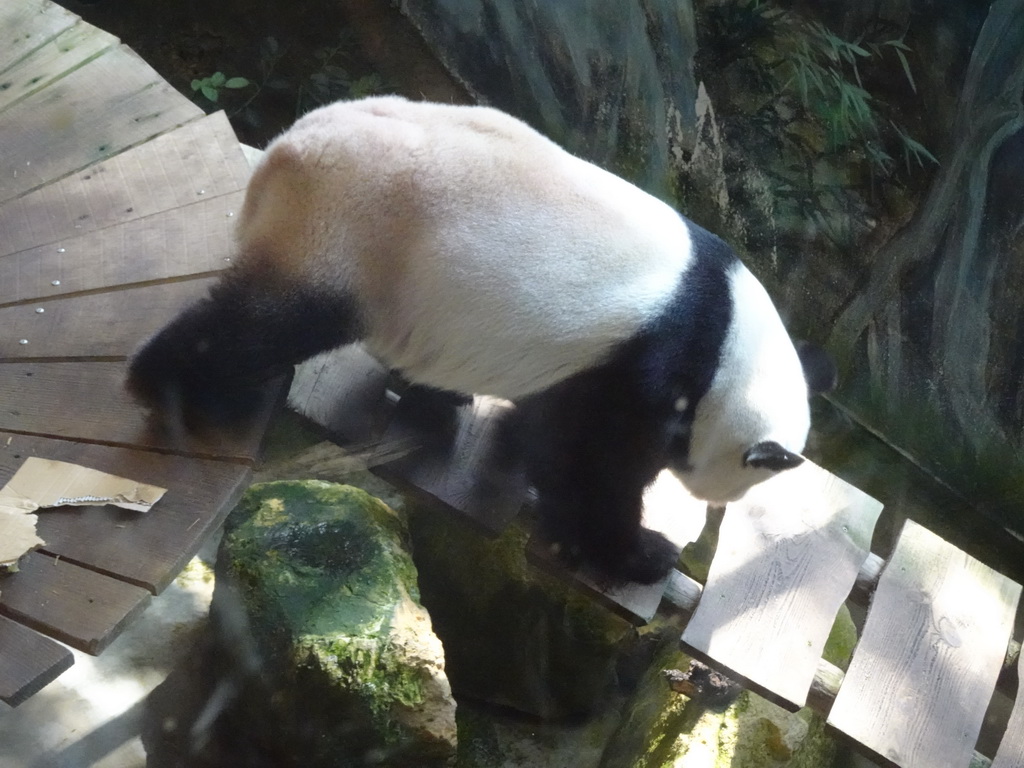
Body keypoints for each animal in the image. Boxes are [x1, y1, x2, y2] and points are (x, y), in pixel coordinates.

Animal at [125, 99, 831, 585]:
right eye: (746, 486)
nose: (720, 499)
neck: (730, 341)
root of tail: (281, 151)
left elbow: (548, 430)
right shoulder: (652, 363)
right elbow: (595, 462)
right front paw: (636, 551)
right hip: (348, 228)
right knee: (263, 325)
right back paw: (179, 392)